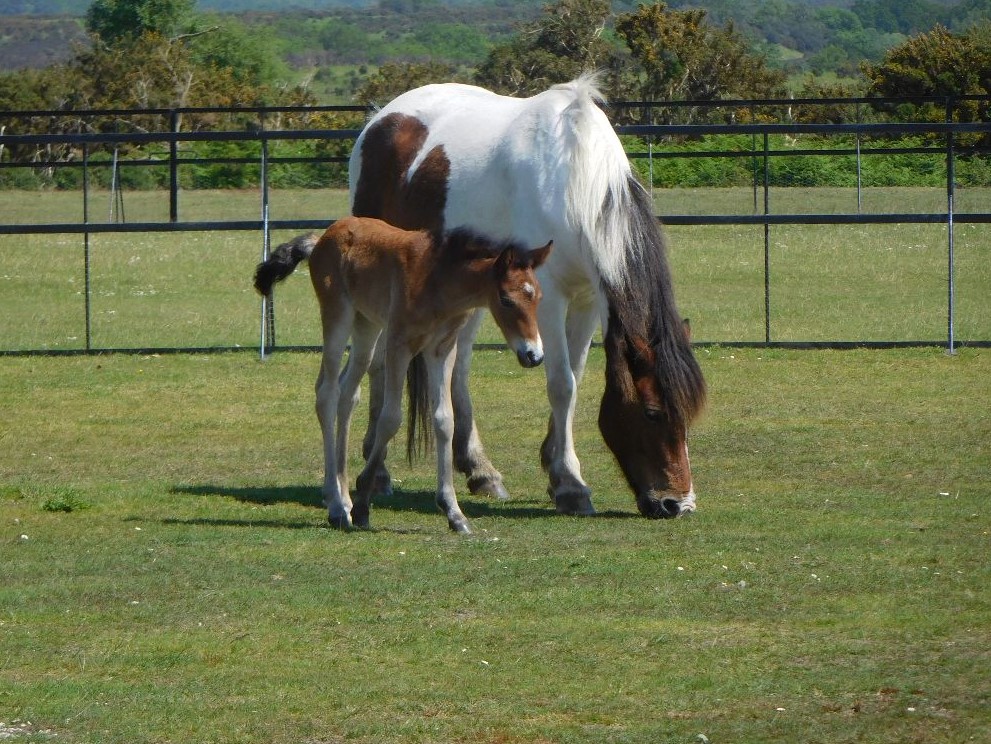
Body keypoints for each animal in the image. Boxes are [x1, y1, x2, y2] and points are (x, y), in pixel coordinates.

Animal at [254, 216, 552, 533]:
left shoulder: (442, 349)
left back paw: (343, 498)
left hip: (367, 325)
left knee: (348, 393)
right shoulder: (399, 345)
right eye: (506, 300)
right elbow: (390, 418)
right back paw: (336, 505)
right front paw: (363, 503)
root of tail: (324, 236)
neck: (438, 281)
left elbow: (444, 420)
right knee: (327, 393)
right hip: (338, 316)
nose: (534, 355)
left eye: (538, 297)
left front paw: (453, 512)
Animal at [348, 74, 707, 519]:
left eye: (689, 414)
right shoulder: (548, 298)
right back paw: (376, 469)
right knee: (380, 361)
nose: (678, 503)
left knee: (458, 368)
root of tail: (381, 118)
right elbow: (562, 384)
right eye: (653, 413)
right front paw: (571, 484)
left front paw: (555, 469)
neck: (574, 177)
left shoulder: (587, 300)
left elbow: (575, 375)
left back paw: (480, 470)